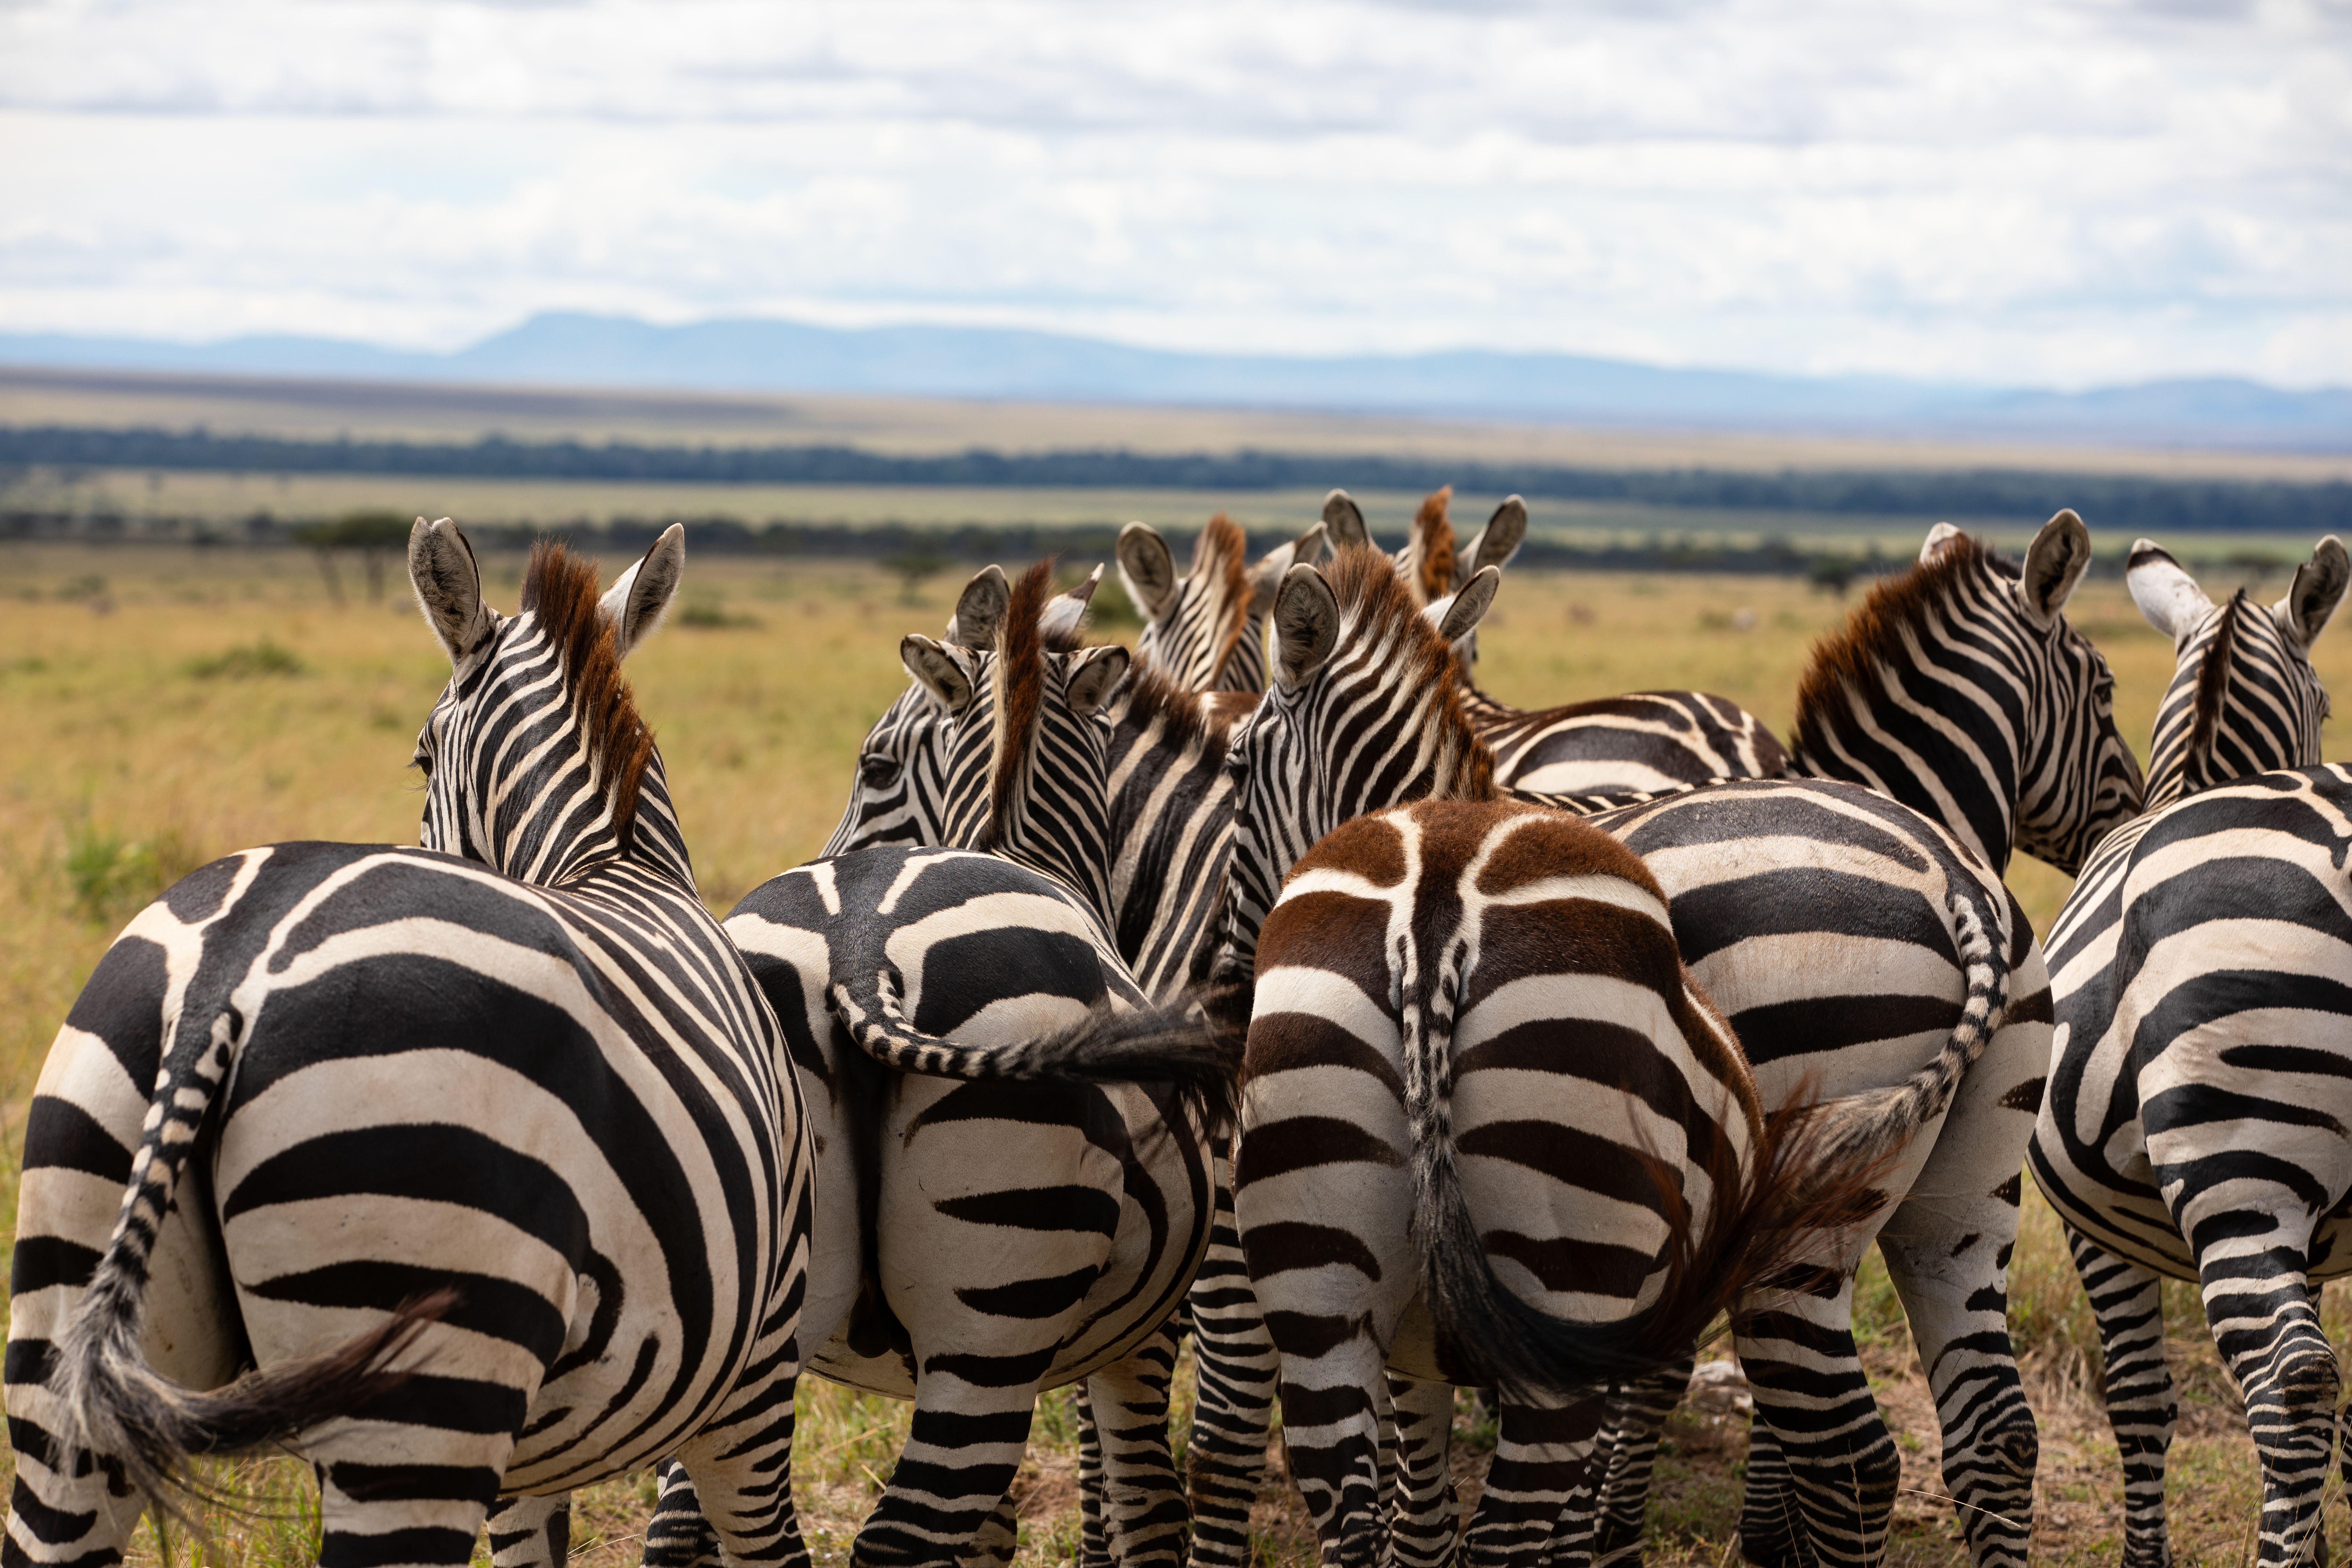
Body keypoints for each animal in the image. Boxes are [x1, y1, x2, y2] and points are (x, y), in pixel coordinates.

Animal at [5, 523, 818, 1568]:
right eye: (420, 759)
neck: (615, 865)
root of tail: (224, 977)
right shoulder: (756, 1371)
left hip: (68, 1328)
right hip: (422, 1378)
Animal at [1240, 795, 1898, 1568]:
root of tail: (1433, 908)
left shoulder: (1411, 1352)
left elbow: (1422, 1521)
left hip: (1316, 1270)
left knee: (1348, 1518)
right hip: (1568, 1256)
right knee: (1502, 1539)